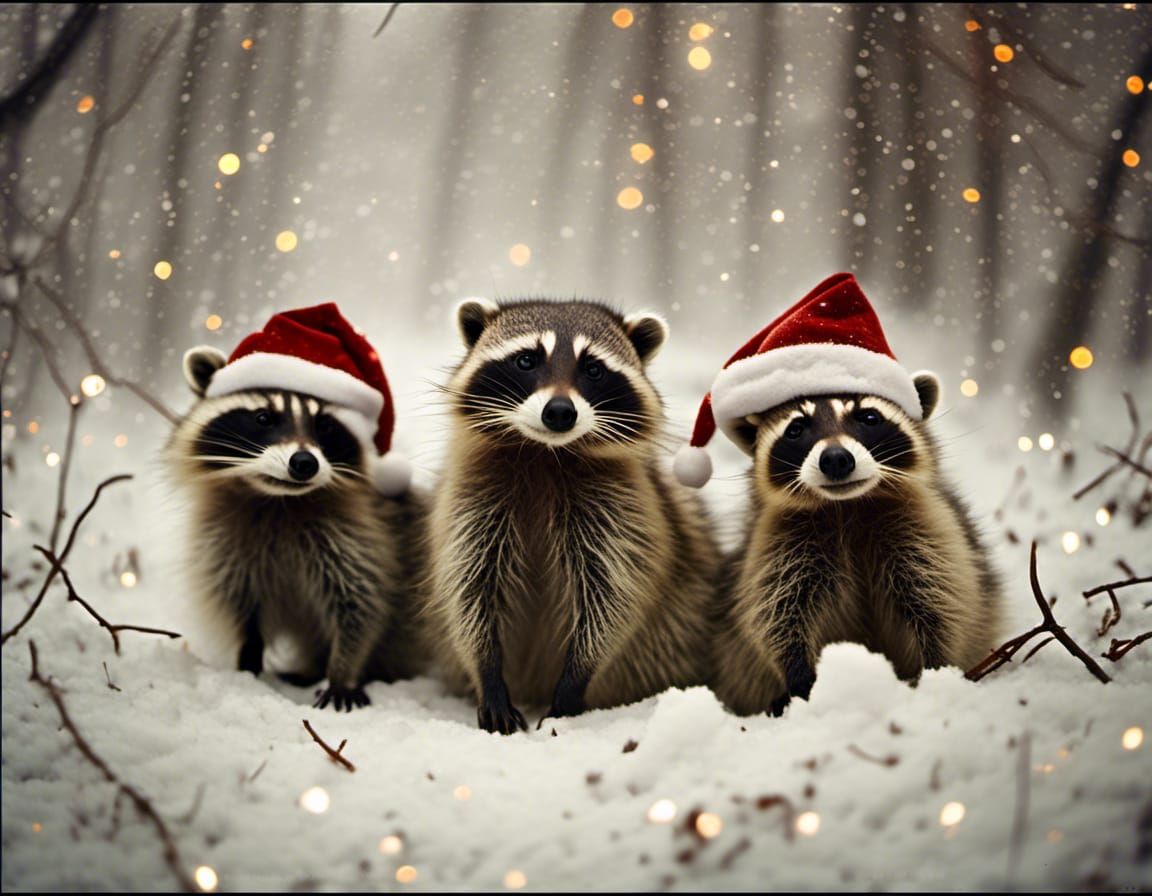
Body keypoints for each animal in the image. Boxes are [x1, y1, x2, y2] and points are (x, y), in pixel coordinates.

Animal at [168, 344, 426, 711]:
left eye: (325, 425)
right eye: (264, 418)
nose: (305, 463)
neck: (278, 501)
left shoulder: (358, 536)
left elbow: (361, 606)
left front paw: (343, 672)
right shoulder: (226, 544)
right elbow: (240, 608)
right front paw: (247, 663)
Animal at [426, 299, 721, 733]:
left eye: (593, 369)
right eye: (526, 360)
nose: (560, 412)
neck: (545, 454)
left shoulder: (621, 508)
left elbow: (614, 598)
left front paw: (575, 681)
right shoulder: (473, 501)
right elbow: (469, 587)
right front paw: (486, 673)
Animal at [712, 382, 1002, 716]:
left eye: (870, 417)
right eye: (795, 429)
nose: (836, 458)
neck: (848, 507)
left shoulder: (929, 530)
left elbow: (944, 601)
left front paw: (936, 668)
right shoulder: (777, 543)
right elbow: (776, 613)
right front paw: (796, 671)